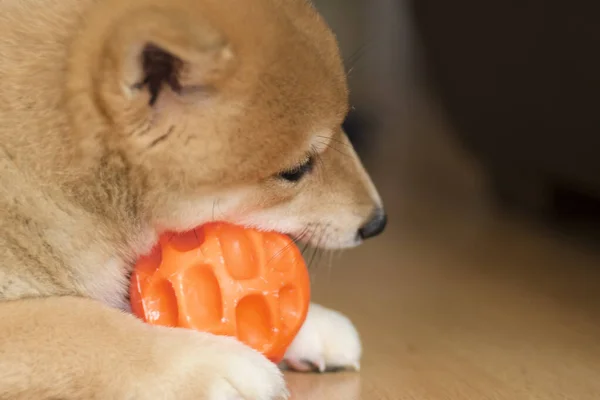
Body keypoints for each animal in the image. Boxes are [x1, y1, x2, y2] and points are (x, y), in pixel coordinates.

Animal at [0, 0, 384, 398]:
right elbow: (81, 320)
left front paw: (308, 325)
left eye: (343, 125)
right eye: (296, 169)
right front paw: (216, 363)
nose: (377, 221)